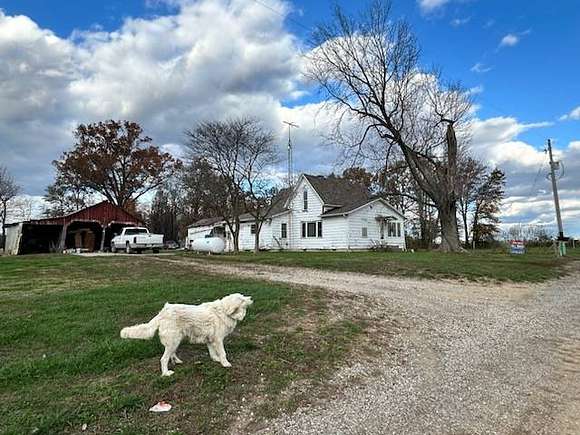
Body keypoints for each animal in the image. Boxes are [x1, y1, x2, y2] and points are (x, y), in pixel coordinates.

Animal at [119, 294, 253, 376]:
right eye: (243, 303)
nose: (251, 297)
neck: (224, 311)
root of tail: (163, 312)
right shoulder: (218, 340)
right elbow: (223, 353)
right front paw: (225, 364)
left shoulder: (210, 339)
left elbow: (212, 352)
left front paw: (215, 359)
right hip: (174, 340)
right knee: (164, 359)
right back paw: (166, 373)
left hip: (176, 340)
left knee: (171, 354)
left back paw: (177, 361)